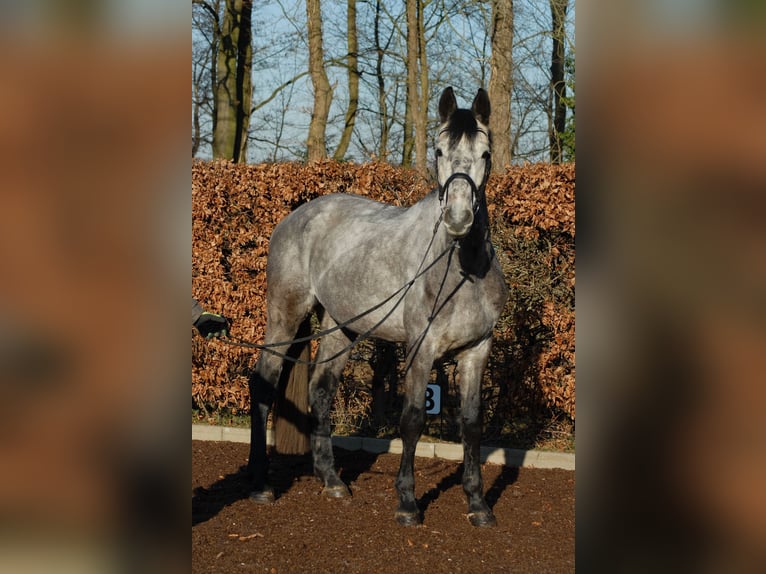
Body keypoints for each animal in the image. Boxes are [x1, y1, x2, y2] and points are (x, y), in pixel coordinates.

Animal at [247, 87, 508, 527]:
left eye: (486, 153)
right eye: (438, 150)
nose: (457, 218)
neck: (461, 268)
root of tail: (296, 217)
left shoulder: (477, 350)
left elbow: (472, 424)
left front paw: (478, 504)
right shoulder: (420, 349)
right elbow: (413, 420)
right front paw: (407, 504)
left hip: (340, 327)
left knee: (321, 391)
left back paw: (332, 480)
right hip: (284, 316)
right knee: (263, 384)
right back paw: (260, 484)